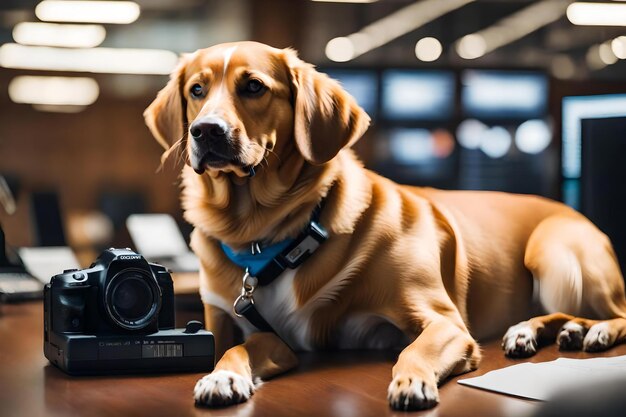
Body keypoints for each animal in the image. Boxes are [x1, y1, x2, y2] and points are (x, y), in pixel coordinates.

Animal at [144, 42, 624, 410]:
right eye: (197, 90)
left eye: (253, 87)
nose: (206, 131)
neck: (264, 235)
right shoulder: (260, 335)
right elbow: (233, 348)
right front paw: (222, 377)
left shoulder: (446, 324)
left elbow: (413, 348)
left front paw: (412, 380)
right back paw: (544, 330)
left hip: (553, 251)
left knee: (616, 313)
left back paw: (587, 330)